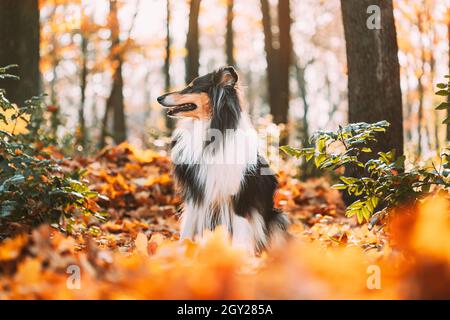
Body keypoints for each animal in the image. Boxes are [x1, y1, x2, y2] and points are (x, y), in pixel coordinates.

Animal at [156, 67, 286, 252]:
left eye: (191, 87)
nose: (159, 98)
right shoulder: (197, 192)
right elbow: (187, 228)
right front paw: (182, 251)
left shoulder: (239, 195)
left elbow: (240, 229)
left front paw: (240, 255)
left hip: (277, 218)